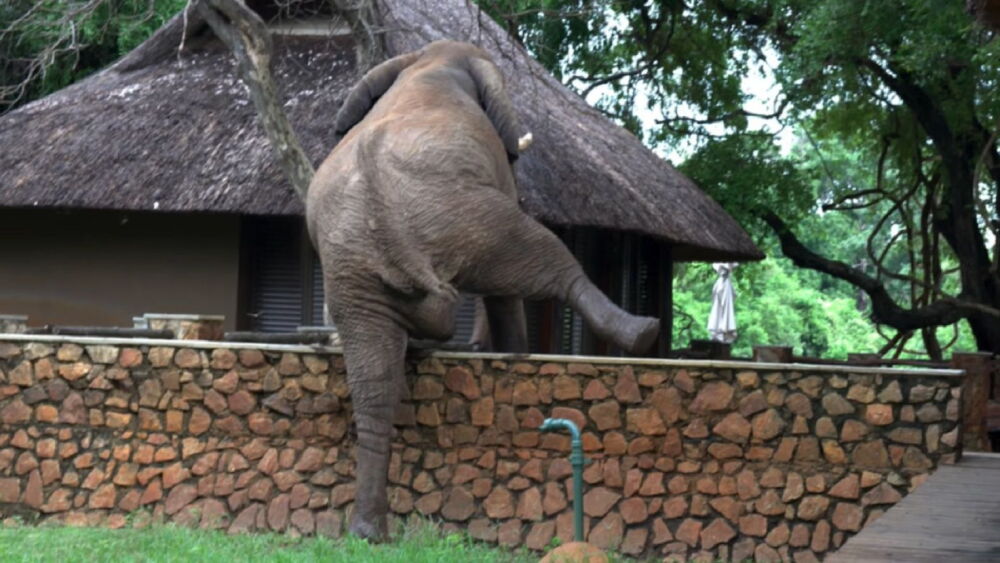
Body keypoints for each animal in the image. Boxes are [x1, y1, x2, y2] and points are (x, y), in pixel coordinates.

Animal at [305, 39, 660, 540]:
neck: (429, 62)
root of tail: (385, 214)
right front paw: (515, 354)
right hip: (472, 218)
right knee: (547, 258)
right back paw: (641, 332)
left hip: (354, 273)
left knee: (373, 383)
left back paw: (367, 533)